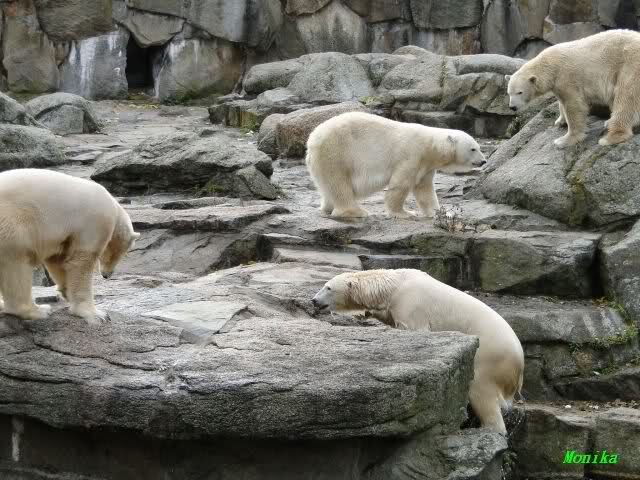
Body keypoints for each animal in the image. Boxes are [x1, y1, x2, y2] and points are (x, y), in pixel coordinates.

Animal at [0, 169, 139, 324]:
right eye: (120, 254)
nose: (106, 275)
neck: (115, 210)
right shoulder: (95, 222)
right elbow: (81, 262)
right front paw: (97, 315)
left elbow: (58, 260)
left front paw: (66, 291)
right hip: (13, 224)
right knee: (16, 264)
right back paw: (39, 310)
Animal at [305, 112, 486, 219]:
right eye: (473, 148)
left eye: (478, 147)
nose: (483, 161)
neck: (430, 146)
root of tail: (312, 140)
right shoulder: (411, 154)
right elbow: (400, 185)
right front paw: (406, 213)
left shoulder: (426, 166)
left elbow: (425, 190)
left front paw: (443, 213)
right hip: (336, 152)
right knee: (339, 183)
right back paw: (356, 212)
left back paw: (328, 209)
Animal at [311, 269, 524, 435]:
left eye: (328, 287)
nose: (313, 300)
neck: (396, 284)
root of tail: (520, 365)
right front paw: (370, 312)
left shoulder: (411, 304)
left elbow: (413, 328)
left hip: (489, 359)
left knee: (482, 393)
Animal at [506, 29, 640, 148]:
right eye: (509, 93)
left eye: (519, 92)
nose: (512, 107)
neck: (550, 64)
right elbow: (562, 102)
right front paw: (560, 121)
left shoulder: (567, 77)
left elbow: (574, 105)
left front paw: (564, 140)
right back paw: (609, 122)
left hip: (630, 62)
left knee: (626, 96)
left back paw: (610, 137)